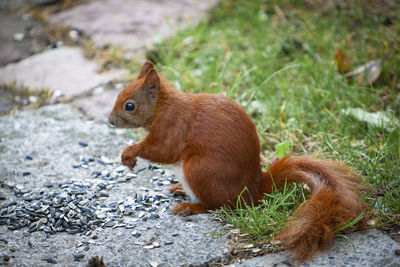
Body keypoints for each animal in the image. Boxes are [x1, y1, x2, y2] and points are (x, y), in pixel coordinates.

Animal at [108, 61, 368, 264]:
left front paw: (129, 152)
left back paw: (190, 206)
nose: (110, 121)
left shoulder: (174, 127)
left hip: (199, 170)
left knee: (217, 206)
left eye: (129, 105)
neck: (163, 106)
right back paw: (180, 188)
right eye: (118, 95)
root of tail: (253, 191)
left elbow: (164, 151)